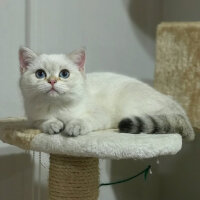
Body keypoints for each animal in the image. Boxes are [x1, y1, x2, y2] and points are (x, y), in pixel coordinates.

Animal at [18, 46, 194, 141]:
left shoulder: (99, 114)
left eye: (64, 74)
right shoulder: (33, 118)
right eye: (40, 74)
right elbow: (43, 121)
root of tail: (176, 107)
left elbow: (83, 120)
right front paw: (53, 125)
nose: (52, 81)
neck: (57, 107)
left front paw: (73, 127)